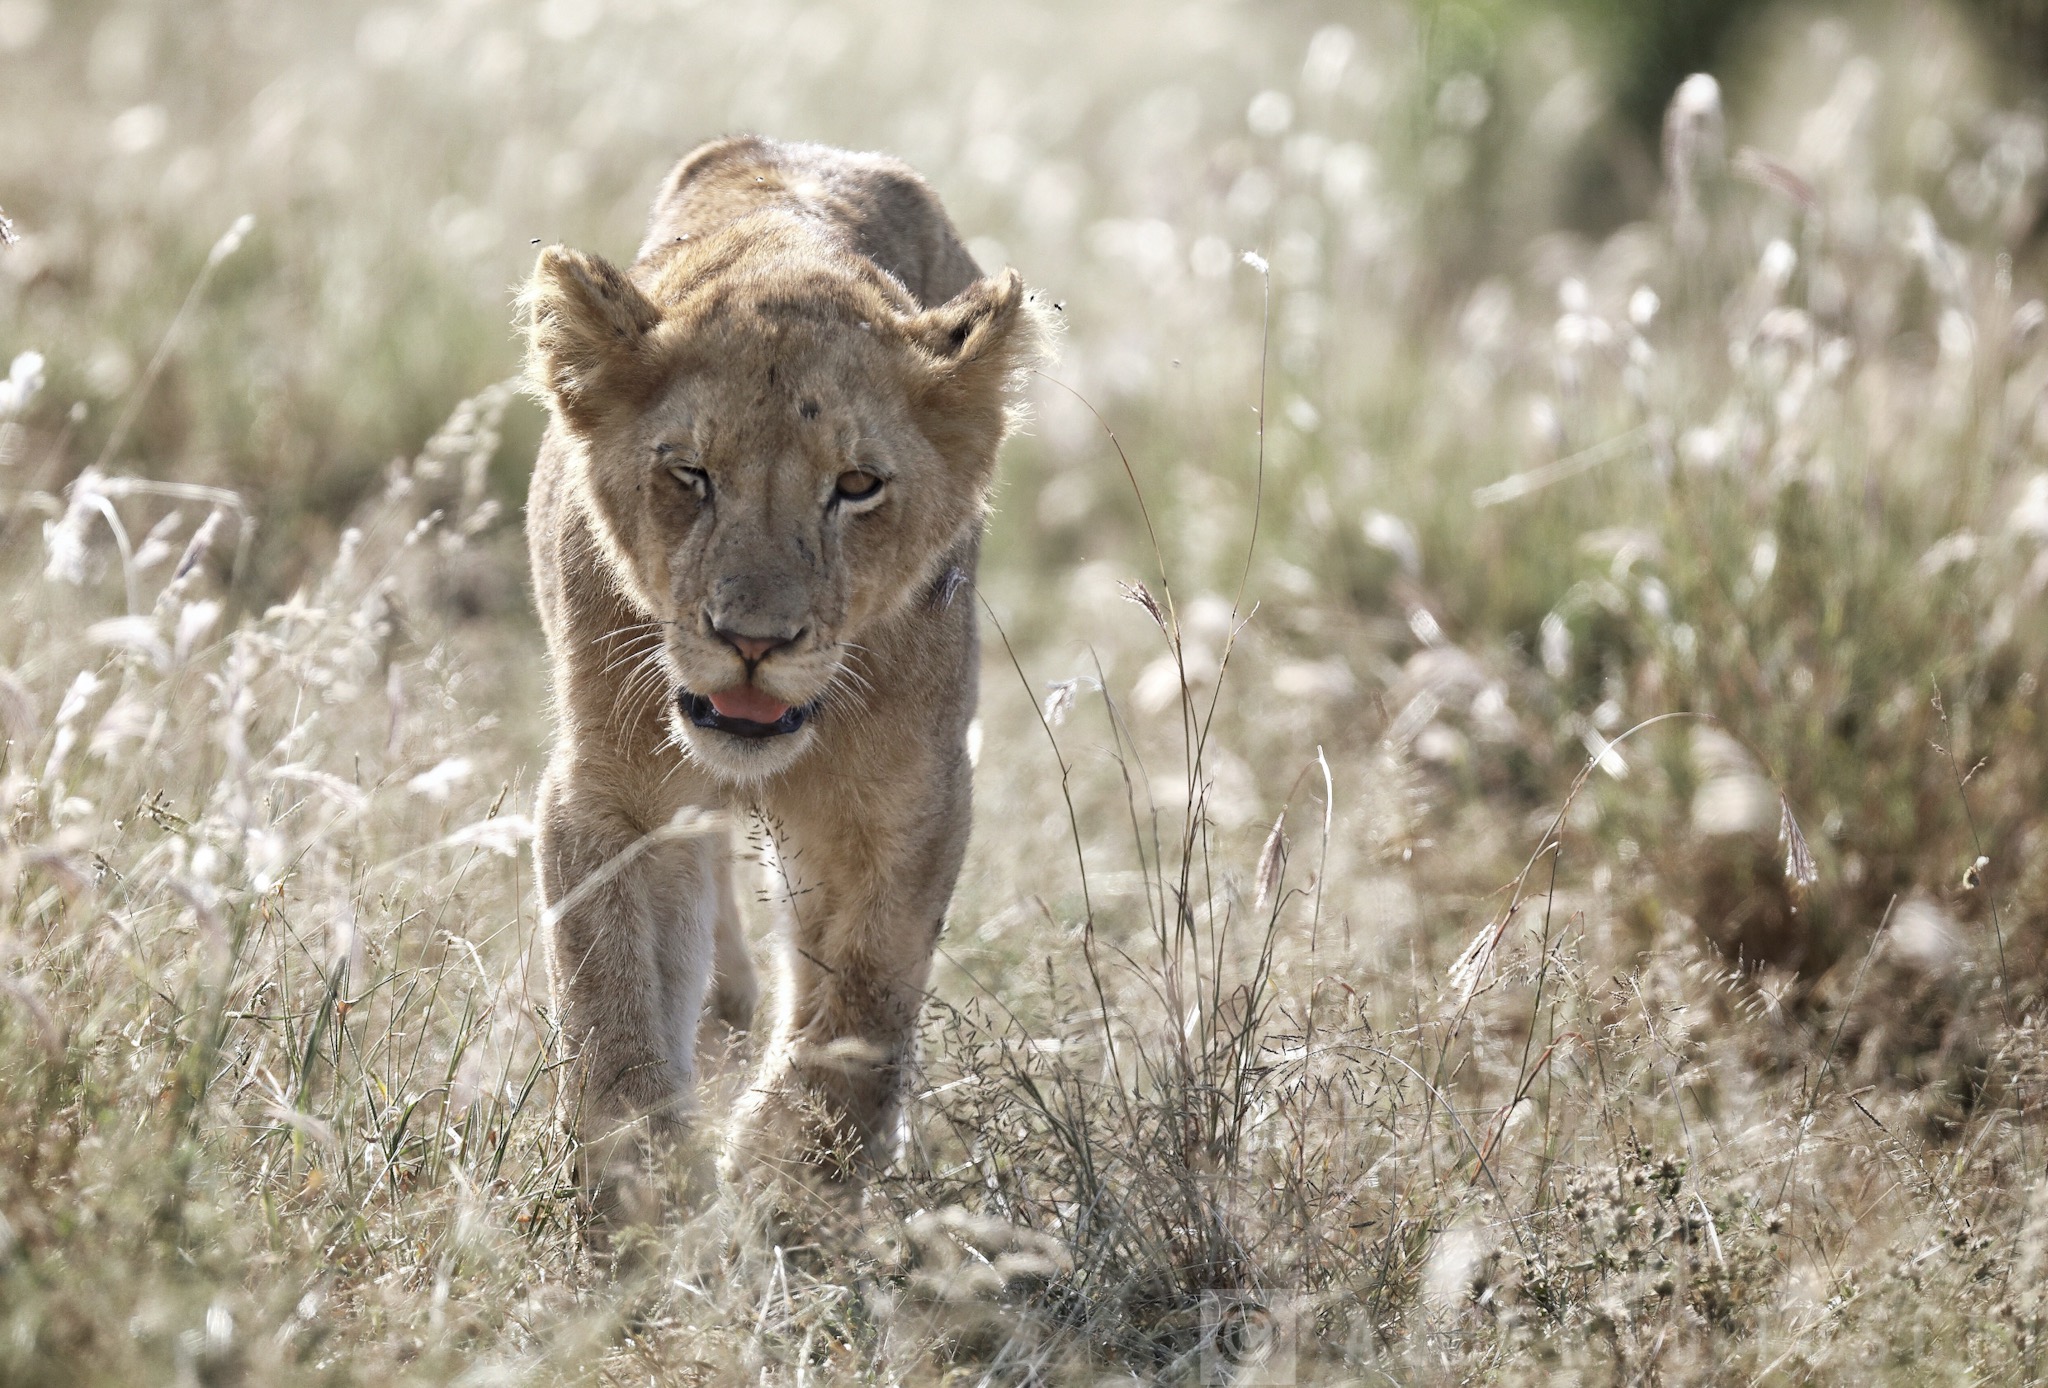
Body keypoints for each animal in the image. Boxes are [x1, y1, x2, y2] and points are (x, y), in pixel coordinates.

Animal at [521, 135, 1040, 1220]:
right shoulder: (614, 795)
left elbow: (861, 1006)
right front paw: (638, 1194)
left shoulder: (906, 806)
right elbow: (612, 998)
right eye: (690, 473)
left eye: (856, 486)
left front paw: (790, 1179)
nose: (751, 639)